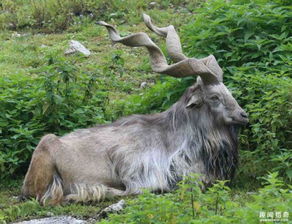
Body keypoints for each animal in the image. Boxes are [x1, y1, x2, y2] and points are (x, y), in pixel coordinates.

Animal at [21, 14, 249, 205]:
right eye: (214, 97)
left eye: (227, 91)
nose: (243, 115)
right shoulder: (133, 167)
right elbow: (138, 189)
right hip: (47, 156)